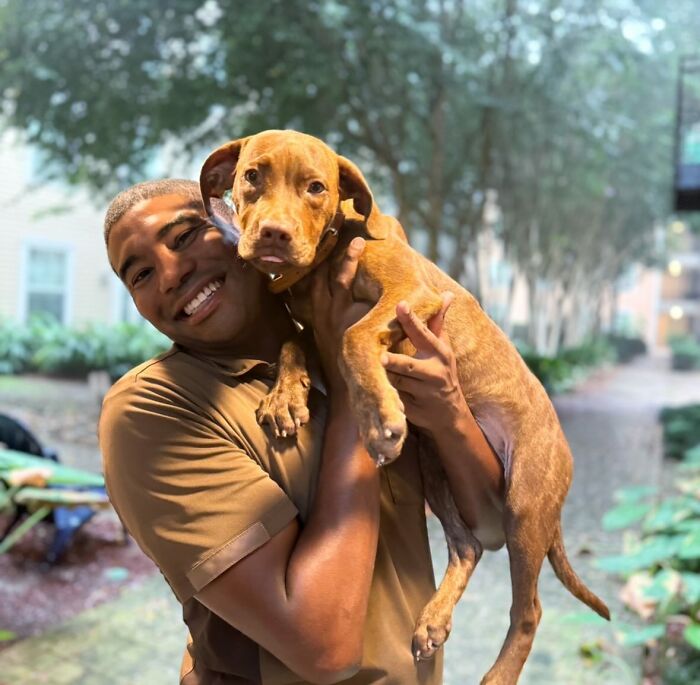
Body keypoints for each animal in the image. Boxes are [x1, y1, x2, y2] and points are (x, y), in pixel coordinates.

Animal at [198, 131, 608, 680]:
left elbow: (352, 337)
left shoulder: (410, 293)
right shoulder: (315, 325)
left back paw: (498, 672)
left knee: (530, 610)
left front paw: (377, 420)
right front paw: (286, 396)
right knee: (467, 546)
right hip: (437, 464)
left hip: (524, 504)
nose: (273, 235)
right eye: (251, 177)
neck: (327, 255)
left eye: (315, 187)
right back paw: (433, 620)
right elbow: (294, 343)